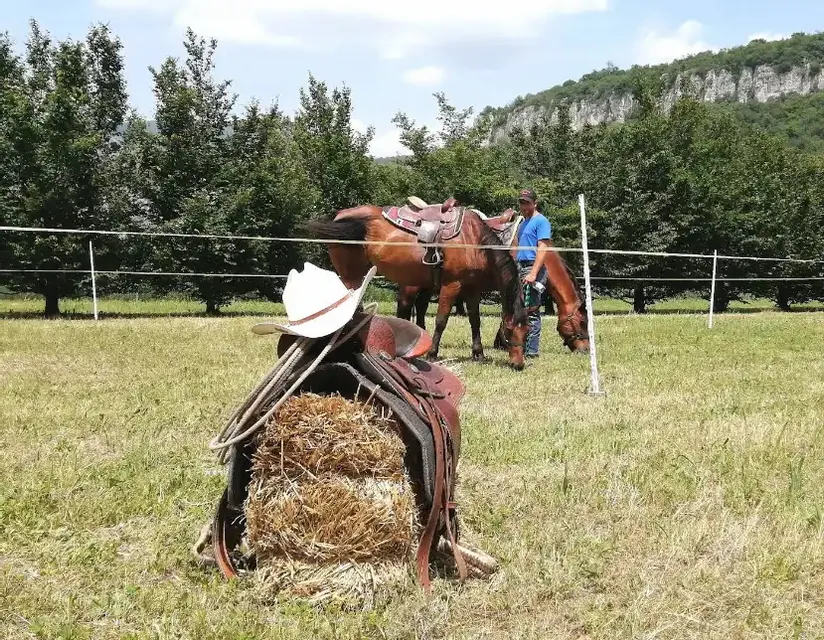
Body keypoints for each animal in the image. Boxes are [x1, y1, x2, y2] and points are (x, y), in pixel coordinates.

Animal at [301, 205, 530, 370]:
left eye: (527, 332)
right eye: (508, 332)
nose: (518, 364)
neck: (472, 240)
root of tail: (341, 216)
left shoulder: (471, 289)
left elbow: (475, 320)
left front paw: (478, 353)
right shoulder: (451, 286)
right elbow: (441, 320)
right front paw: (433, 353)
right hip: (352, 275)